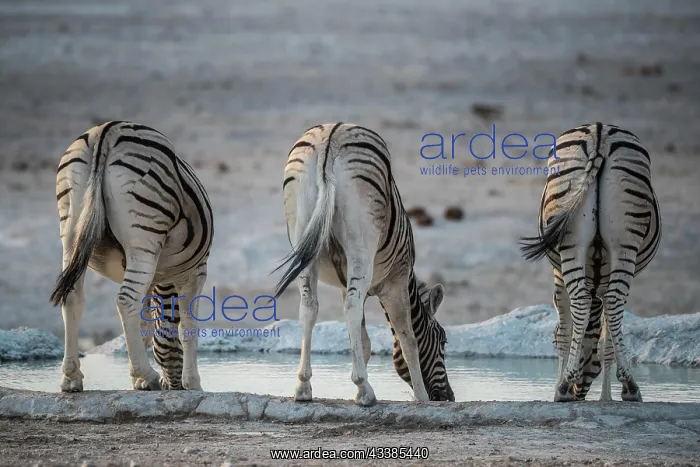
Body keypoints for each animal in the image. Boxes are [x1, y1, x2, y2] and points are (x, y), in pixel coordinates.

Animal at [50, 121, 213, 392]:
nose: (173, 387)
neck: (163, 283)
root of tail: (106, 131)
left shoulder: (152, 280)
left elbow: (145, 326)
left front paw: (138, 379)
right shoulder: (195, 272)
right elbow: (187, 327)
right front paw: (192, 383)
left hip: (70, 233)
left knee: (72, 297)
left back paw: (71, 378)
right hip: (144, 238)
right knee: (125, 301)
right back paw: (148, 375)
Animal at [272, 122, 454, 407]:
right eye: (443, 341)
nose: (449, 398)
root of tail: (330, 136)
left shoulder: (344, 283)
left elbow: (363, 340)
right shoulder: (397, 280)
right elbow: (408, 338)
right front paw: (421, 397)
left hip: (303, 238)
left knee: (309, 307)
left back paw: (303, 387)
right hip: (361, 244)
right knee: (351, 306)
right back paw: (365, 392)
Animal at [520, 122, 661, 403]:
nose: (578, 394)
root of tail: (600, 132)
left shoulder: (562, 273)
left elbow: (575, 331)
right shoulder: (564, 272)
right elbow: (588, 334)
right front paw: (601, 395)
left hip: (583, 240)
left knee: (587, 301)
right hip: (618, 242)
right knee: (606, 302)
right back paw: (621, 387)